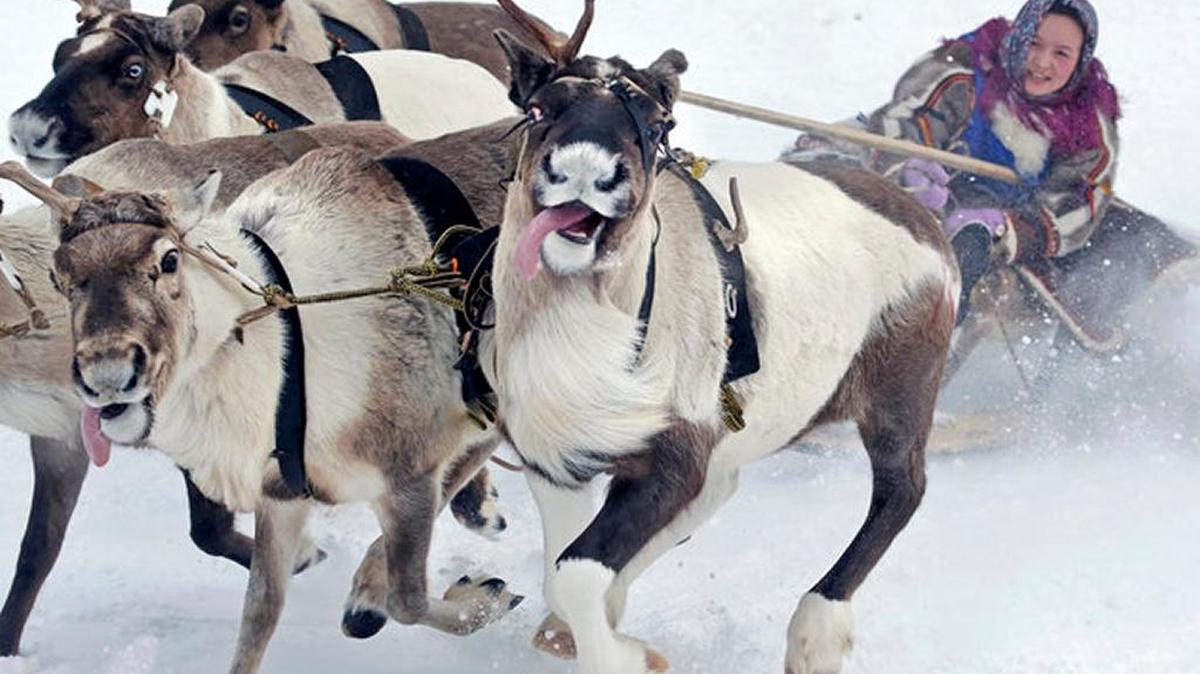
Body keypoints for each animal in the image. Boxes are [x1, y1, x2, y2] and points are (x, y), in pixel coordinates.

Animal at [0, 122, 506, 658]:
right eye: (60, 276)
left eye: (170, 259)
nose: (108, 375)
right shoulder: (66, 441)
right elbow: (39, 550)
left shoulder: (404, 471)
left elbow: (404, 595)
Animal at [481, 2, 959, 673]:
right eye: (539, 108)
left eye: (657, 123)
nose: (585, 173)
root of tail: (929, 224)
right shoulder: (556, 460)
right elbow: (560, 576)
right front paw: (584, 630)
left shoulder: (675, 456)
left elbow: (576, 574)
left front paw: (630, 656)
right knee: (722, 492)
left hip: (900, 394)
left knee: (902, 491)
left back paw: (815, 636)